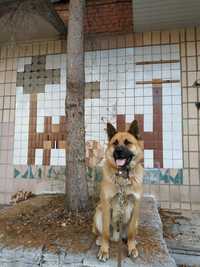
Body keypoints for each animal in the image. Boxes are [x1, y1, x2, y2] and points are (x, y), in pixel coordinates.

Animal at [92, 121, 144, 262]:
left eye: (127, 142)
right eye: (115, 143)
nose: (118, 151)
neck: (123, 178)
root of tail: (116, 237)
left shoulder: (136, 205)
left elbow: (131, 232)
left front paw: (131, 248)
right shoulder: (106, 205)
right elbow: (105, 232)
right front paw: (104, 251)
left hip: (136, 221)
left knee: (130, 232)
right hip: (98, 212)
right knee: (102, 234)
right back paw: (101, 241)